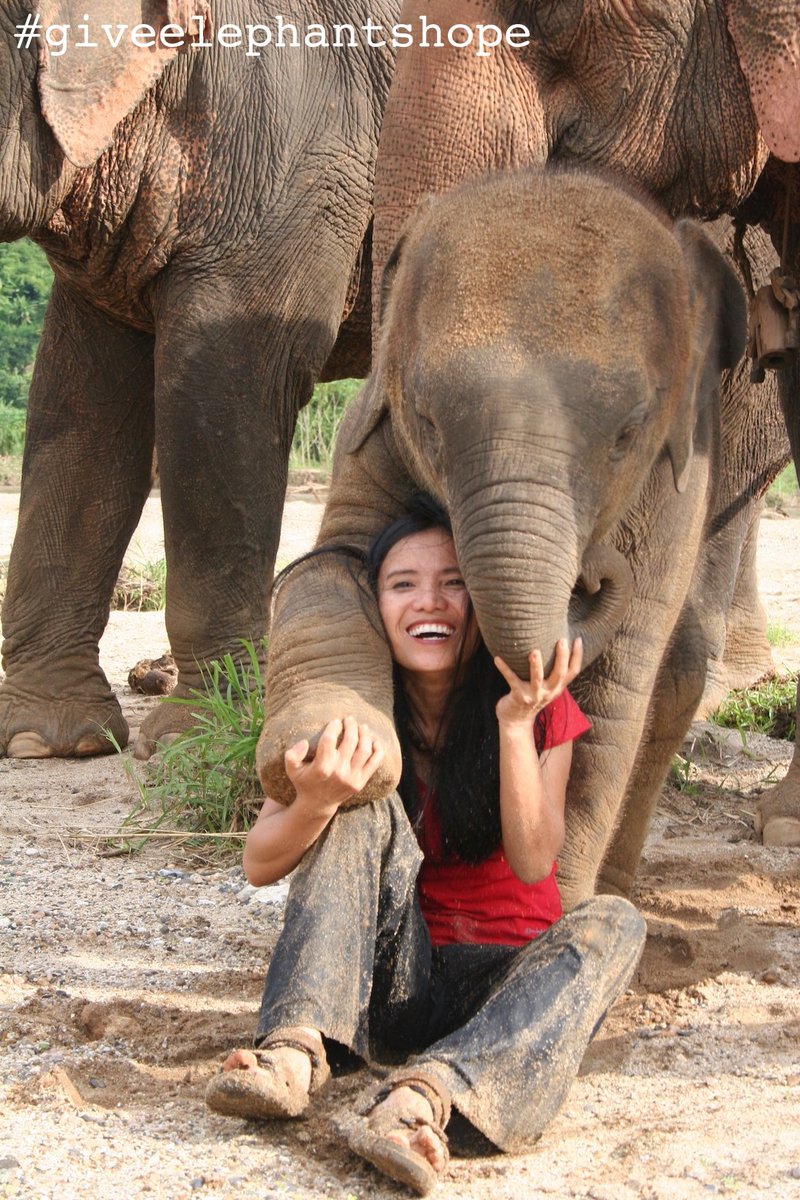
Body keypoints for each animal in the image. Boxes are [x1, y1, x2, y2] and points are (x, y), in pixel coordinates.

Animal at [256, 166, 750, 908]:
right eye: (427, 420)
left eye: (628, 435)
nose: (594, 574)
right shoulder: (373, 429)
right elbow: (333, 565)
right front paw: (332, 751)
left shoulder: (676, 493)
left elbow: (609, 700)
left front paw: (561, 912)